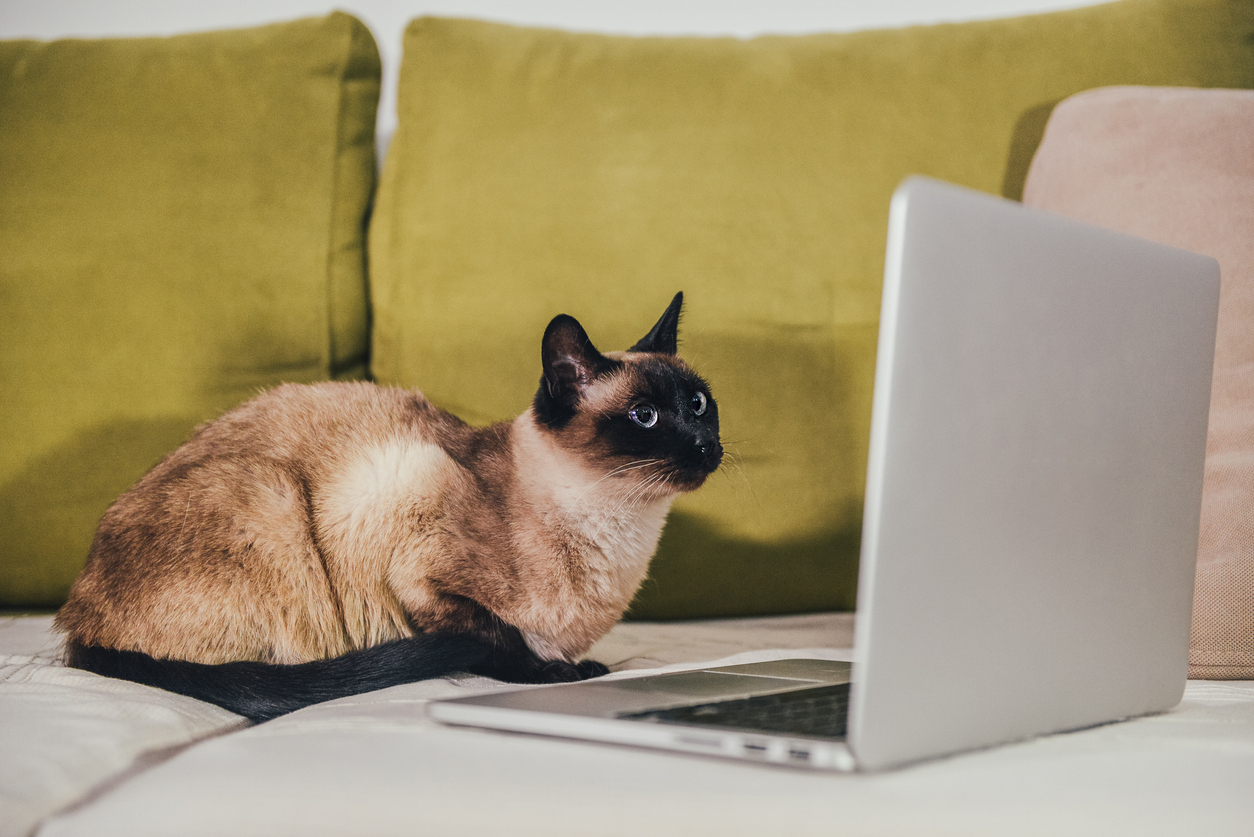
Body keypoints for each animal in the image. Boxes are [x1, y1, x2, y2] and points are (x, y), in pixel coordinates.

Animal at [56, 293, 727, 722]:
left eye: (699, 403)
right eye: (645, 416)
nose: (706, 446)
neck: (622, 535)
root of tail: (75, 624)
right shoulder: (418, 561)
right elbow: (499, 637)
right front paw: (566, 673)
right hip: (273, 502)